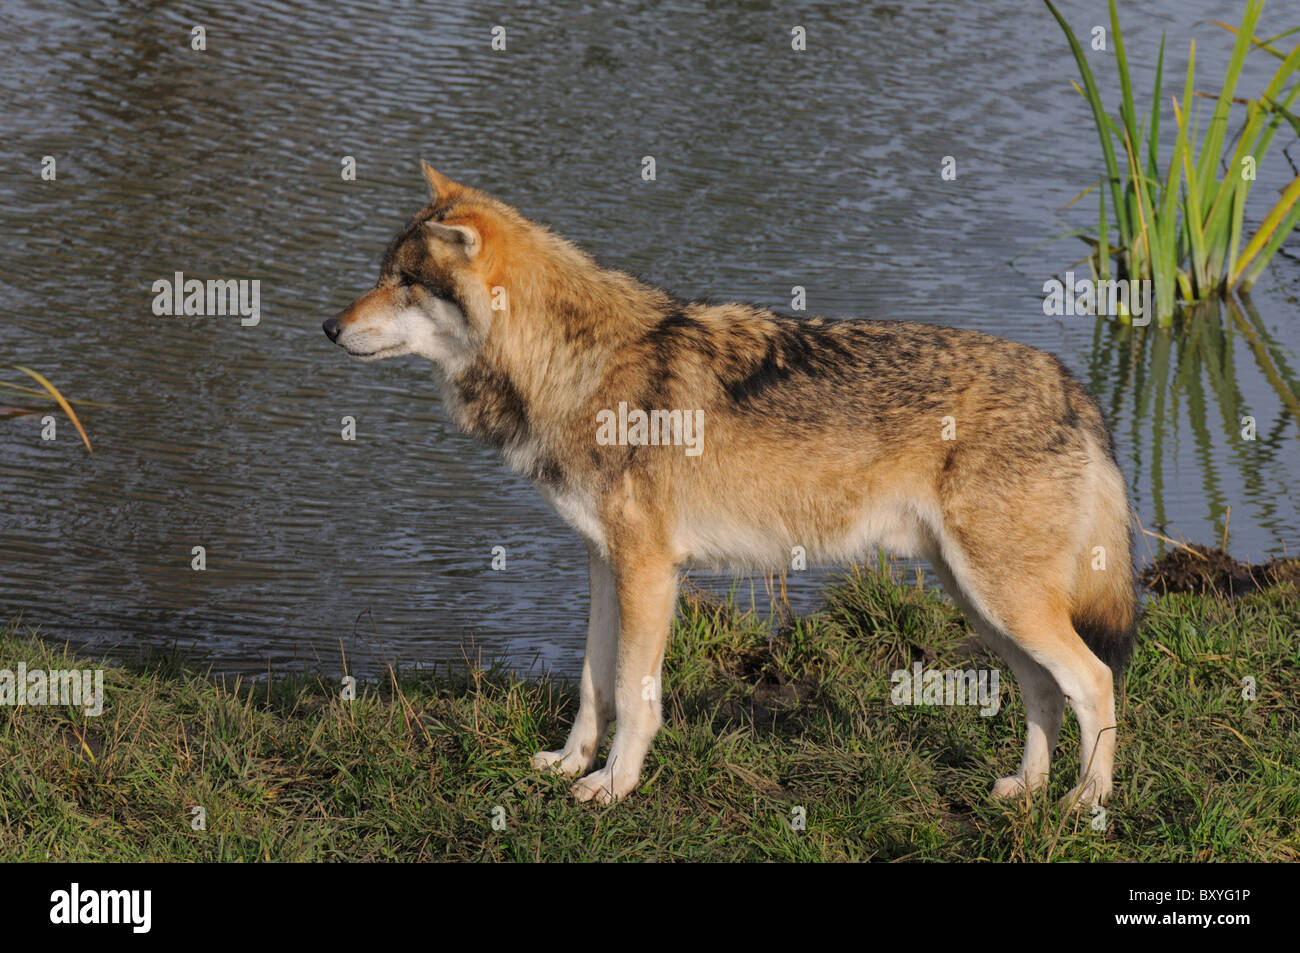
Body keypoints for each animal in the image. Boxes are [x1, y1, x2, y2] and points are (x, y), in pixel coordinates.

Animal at [323, 163, 1137, 808]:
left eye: (403, 284)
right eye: (380, 275)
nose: (329, 328)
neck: (571, 367)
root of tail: (1074, 388)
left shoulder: (651, 572)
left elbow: (635, 696)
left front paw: (612, 786)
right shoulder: (604, 565)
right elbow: (592, 684)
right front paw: (569, 763)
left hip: (1002, 597)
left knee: (1095, 680)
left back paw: (1084, 804)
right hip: (980, 600)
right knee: (1044, 689)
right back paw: (1026, 789)